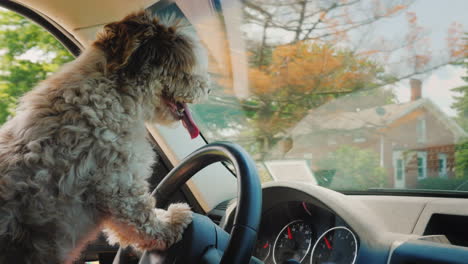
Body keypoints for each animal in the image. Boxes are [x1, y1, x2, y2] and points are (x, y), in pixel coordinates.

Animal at [0, 9, 209, 262]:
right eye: (186, 68)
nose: (208, 89)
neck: (112, 92)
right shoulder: (118, 182)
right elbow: (141, 216)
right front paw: (170, 222)